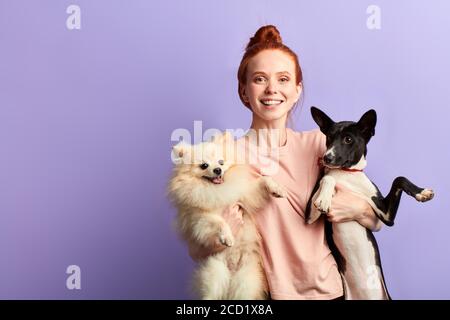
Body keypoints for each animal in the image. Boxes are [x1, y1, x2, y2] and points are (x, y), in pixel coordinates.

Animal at [167, 131, 286, 300]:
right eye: (204, 165)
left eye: (221, 162)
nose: (218, 170)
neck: (216, 190)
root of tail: (231, 276)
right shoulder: (199, 218)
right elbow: (219, 222)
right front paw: (227, 237)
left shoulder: (245, 197)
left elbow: (263, 180)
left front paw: (276, 188)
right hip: (214, 273)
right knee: (211, 294)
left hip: (246, 280)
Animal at [304, 107, 434, 300]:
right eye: (328, 138)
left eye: (348, 139)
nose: (326, 158)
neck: (347, 175)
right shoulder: (309, 216)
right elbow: (328, 178)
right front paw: (324, 198)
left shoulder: (386, 216)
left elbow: (399, 178)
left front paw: (422, 192)